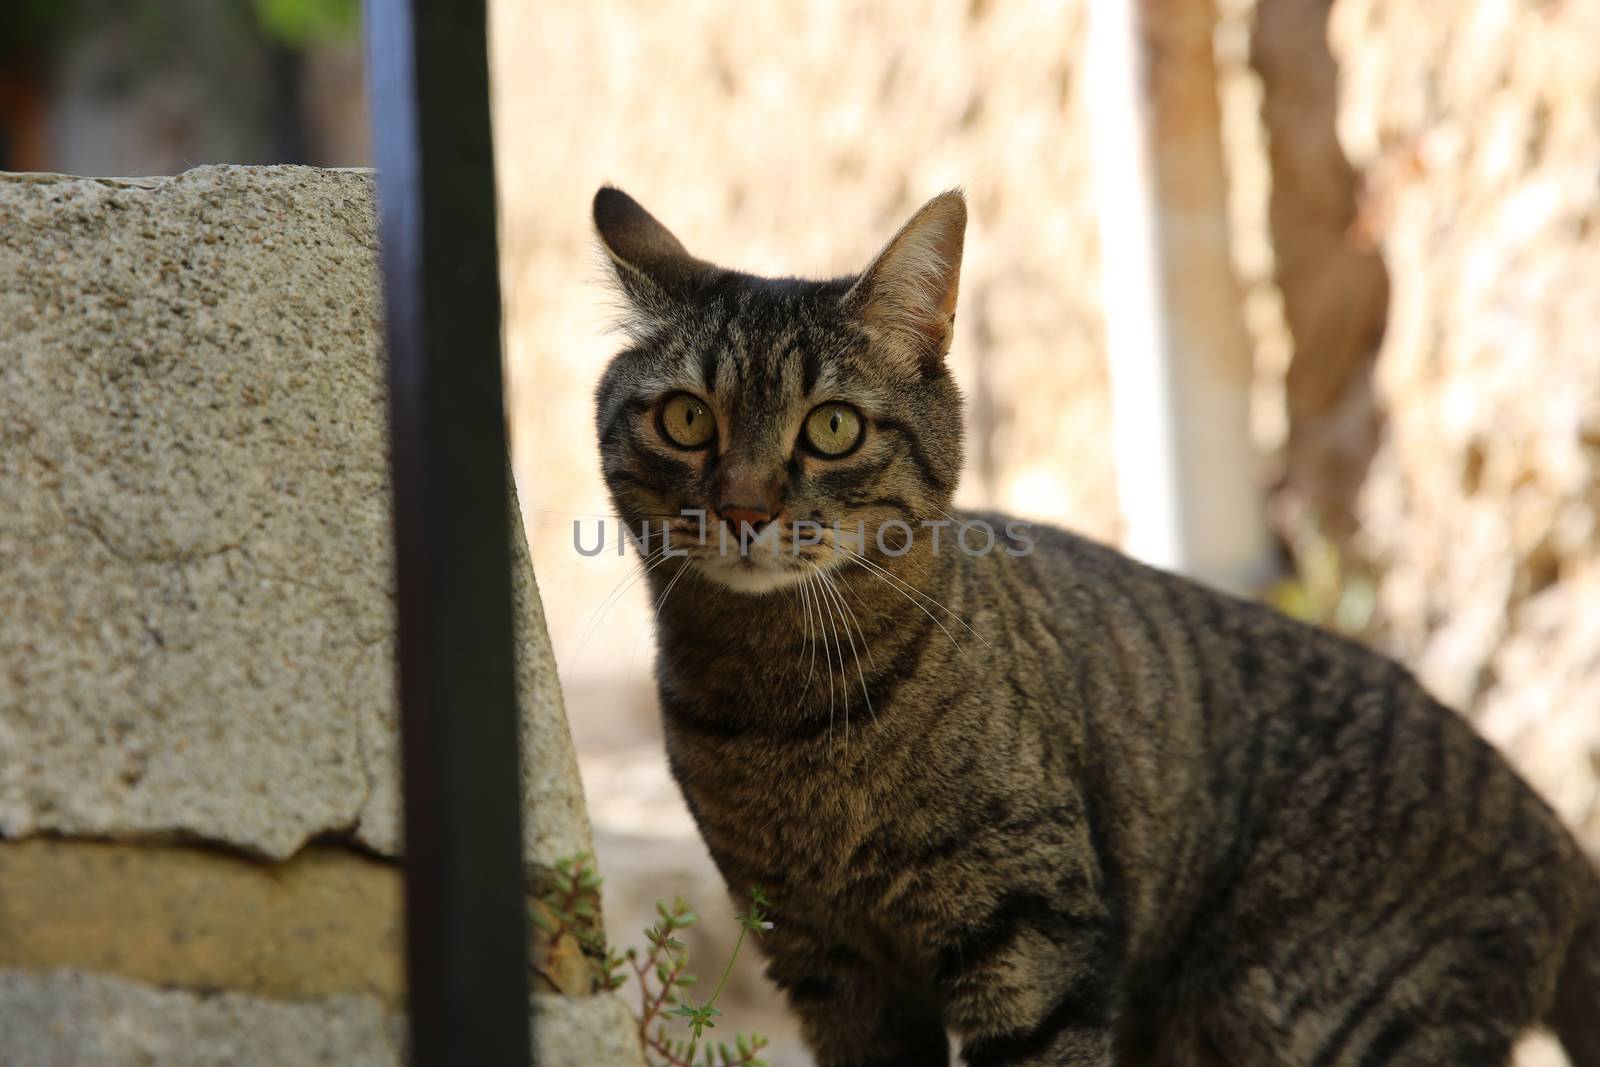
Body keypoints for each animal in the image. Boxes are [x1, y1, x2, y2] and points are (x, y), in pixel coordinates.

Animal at [592, 187, 1600, 1062]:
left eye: (832, 427)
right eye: (687, 419)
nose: (744, 509)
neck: (782, 704)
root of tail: (1555, 834)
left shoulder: (1029, 937)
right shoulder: (822, 962)